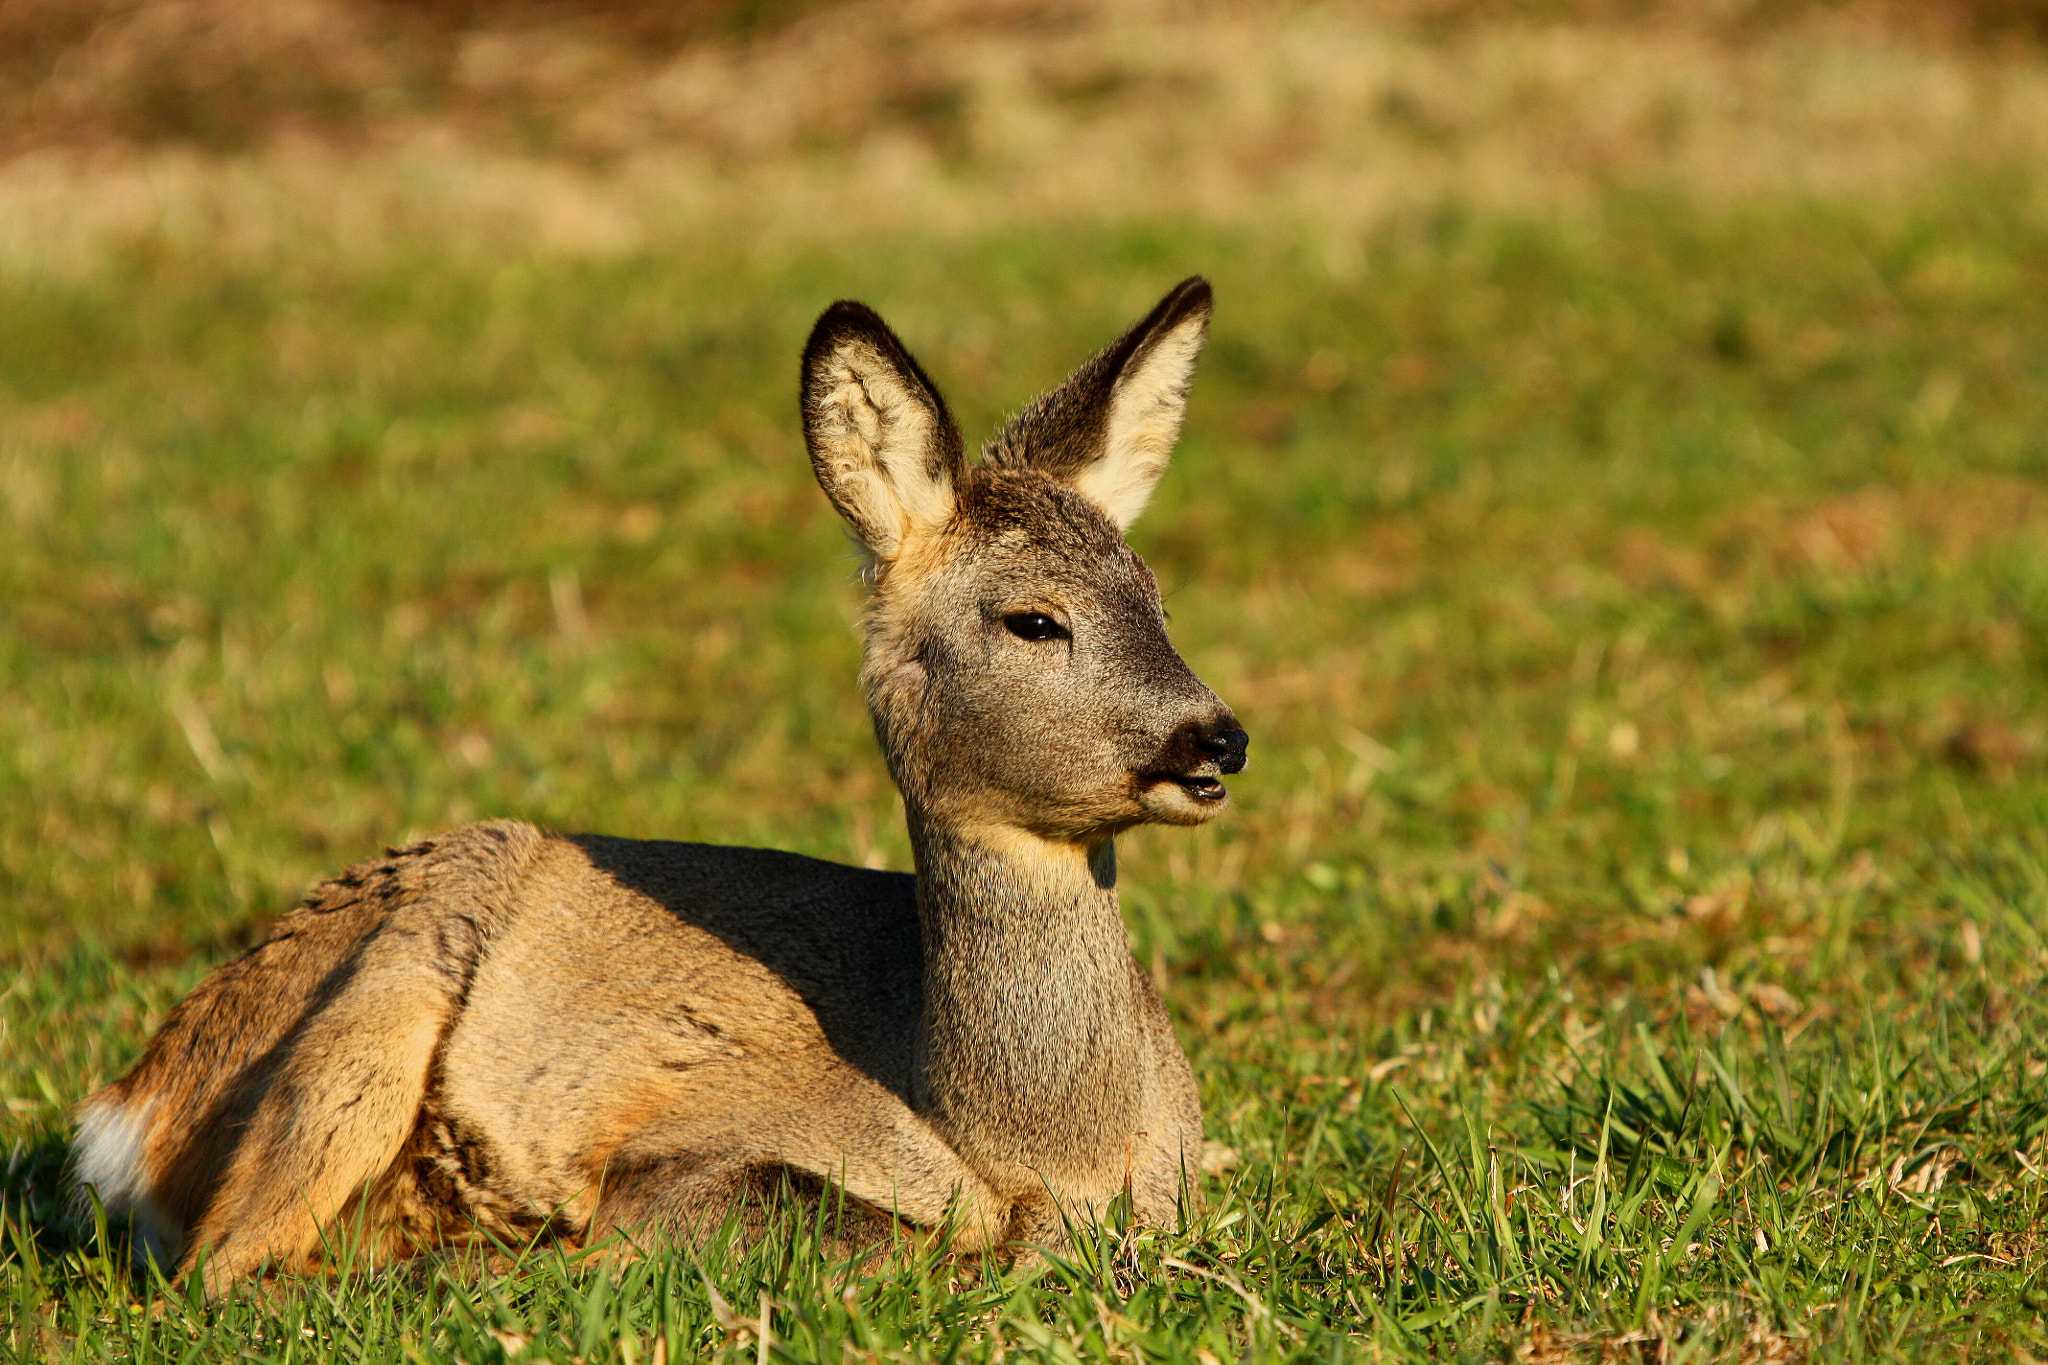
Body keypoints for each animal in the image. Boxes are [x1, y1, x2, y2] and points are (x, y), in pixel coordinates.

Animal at [73, 277, 1249, 1296]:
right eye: (1034, 620)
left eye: (1157, 601)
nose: (1218, 739)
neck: (1038, 1152)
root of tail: (125, 1109)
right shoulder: (685, 1137)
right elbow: (867, 1227)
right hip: (372, 1011)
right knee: (222, 1269)